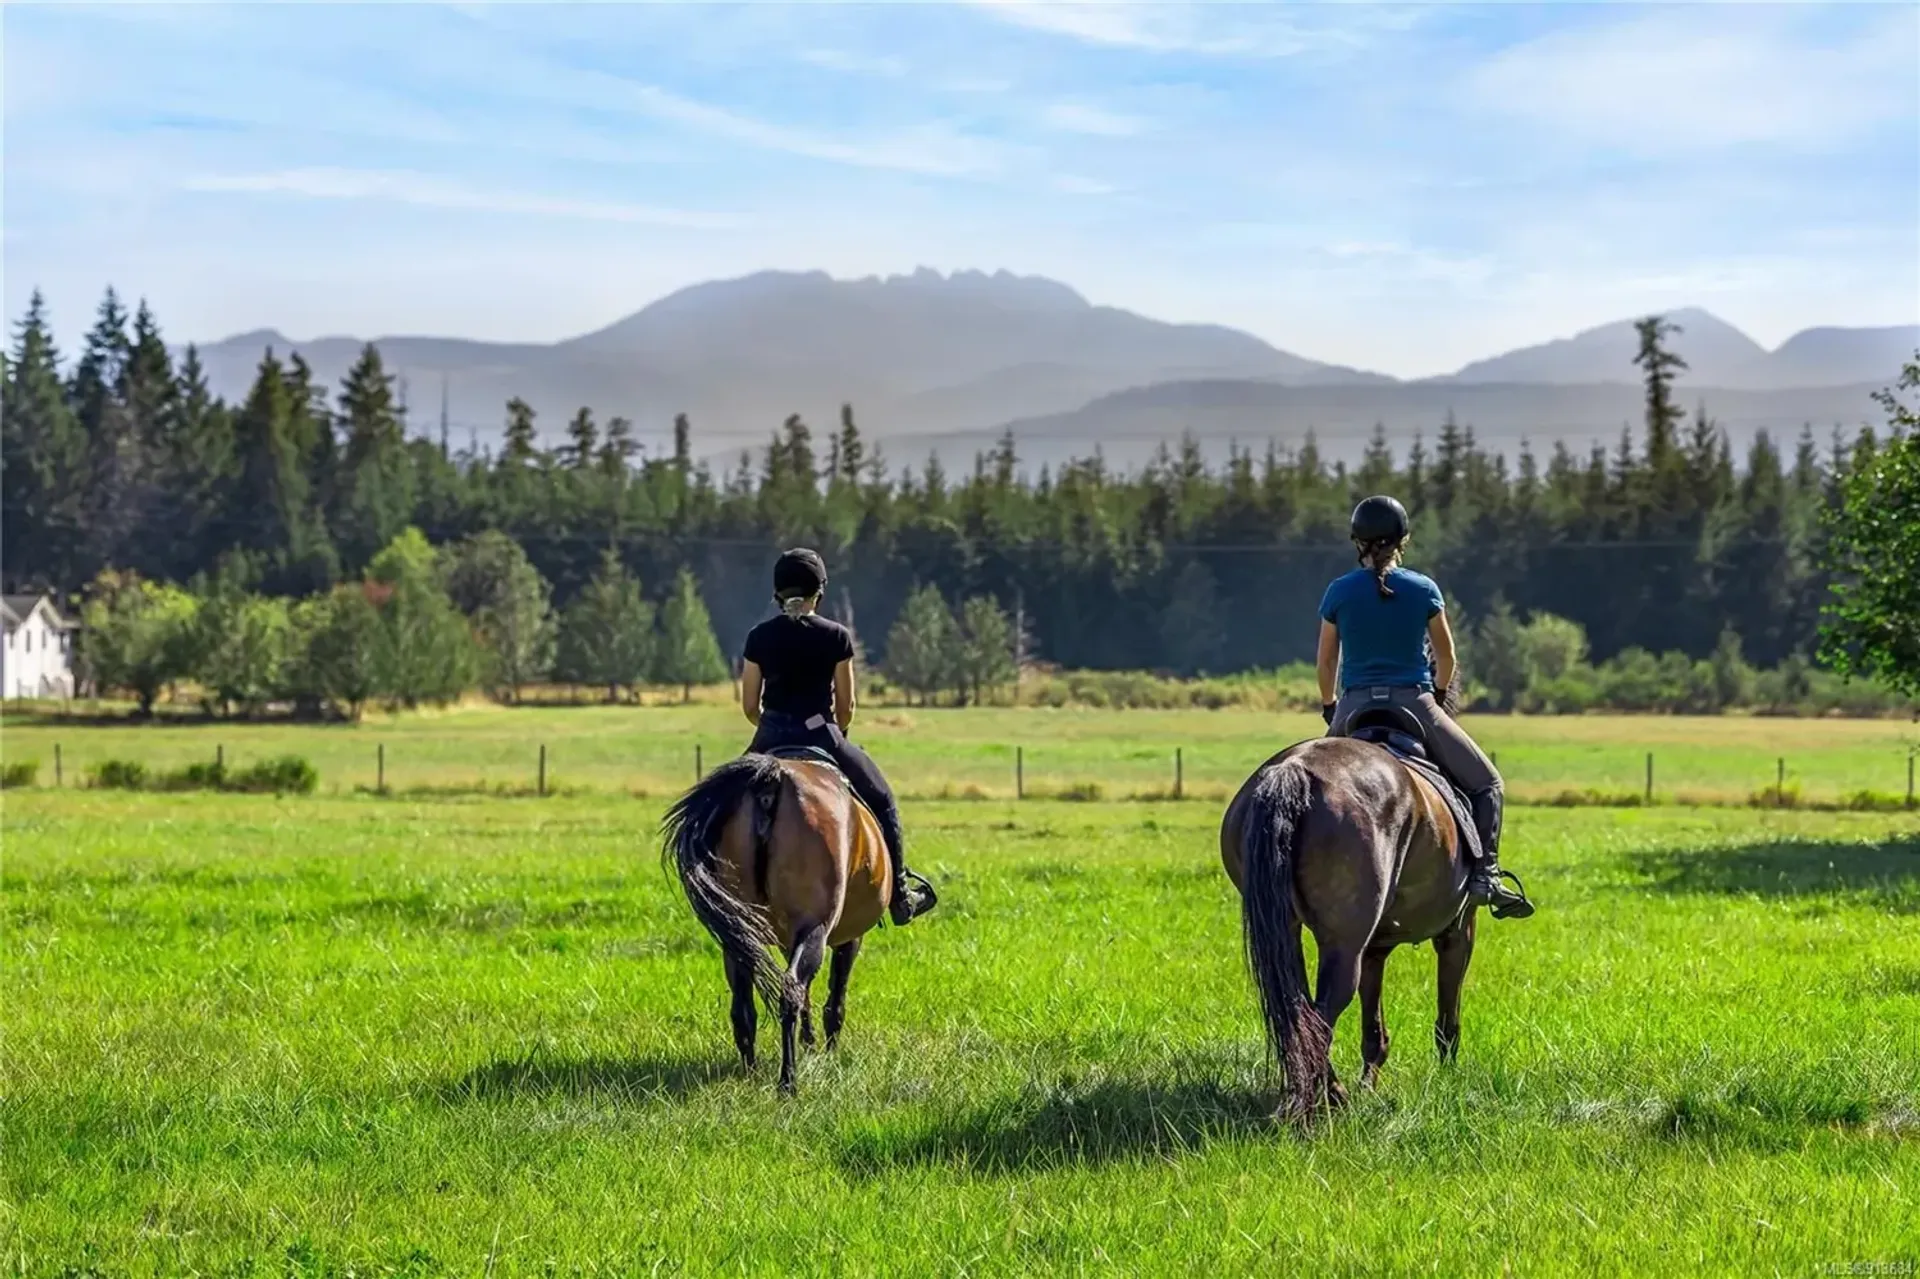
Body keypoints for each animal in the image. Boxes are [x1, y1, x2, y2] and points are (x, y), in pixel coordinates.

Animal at [660, 752, 890, 1090]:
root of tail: (771, 778)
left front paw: (810, 1043)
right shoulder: (848, 938)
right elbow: (834, 998)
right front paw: (828, 1052)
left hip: (739, 936)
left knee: (744, 1006)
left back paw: (751, 1072)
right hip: (814, 928)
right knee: (791, 990)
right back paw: (788, 1082)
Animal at [1221, 733, 1474, 1113]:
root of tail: (1293, 769)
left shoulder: (1375, 946)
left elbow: (1373, 1024)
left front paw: (1369, 1084)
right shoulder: (1458, 929)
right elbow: (1448, 1014)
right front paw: (1446, 1075)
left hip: (1287, 935)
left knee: (1299, 1013)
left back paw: (1320, 1093)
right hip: (1344, 946)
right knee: (1322, 1014)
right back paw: (1328, 1099)